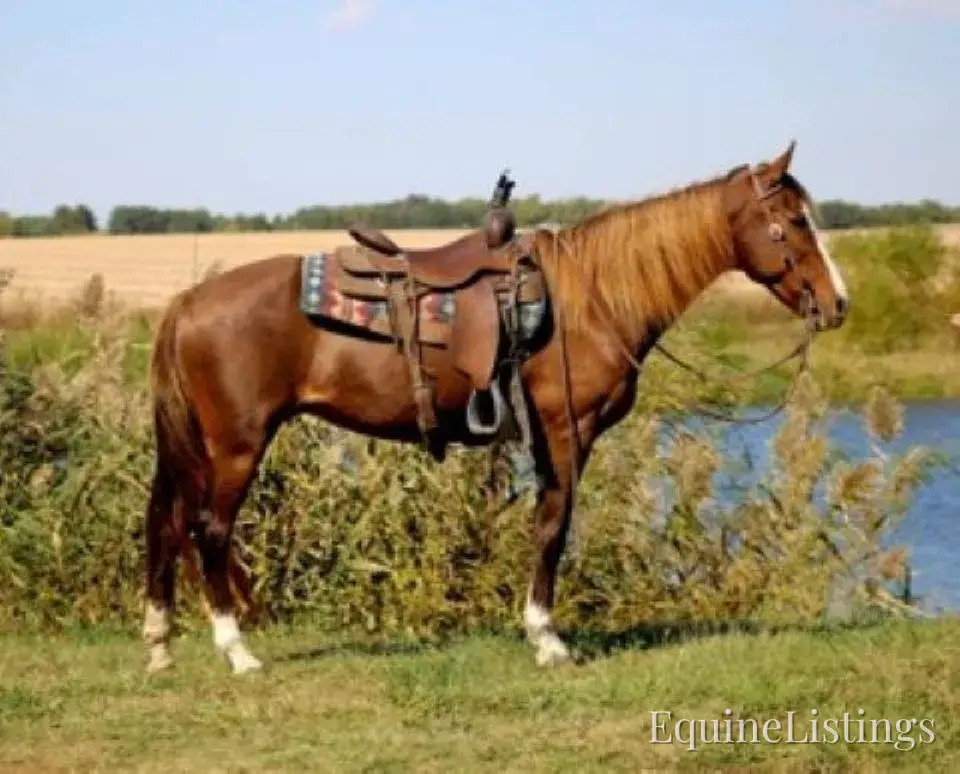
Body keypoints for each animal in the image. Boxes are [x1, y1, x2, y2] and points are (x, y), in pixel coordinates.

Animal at [141, 140, 849, 674]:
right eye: (795, 220)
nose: (838, 302)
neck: (589, 297)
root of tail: (188, 303)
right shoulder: (567, 430)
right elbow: (553, 525)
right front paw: (547, 638)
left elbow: (544, 524)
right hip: (237, 443)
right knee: (209, 530)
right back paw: (237, 651)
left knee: (168, 523)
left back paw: (159, 643)